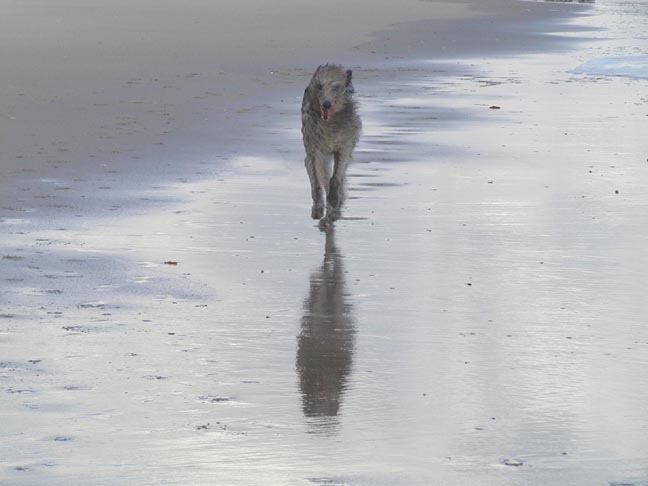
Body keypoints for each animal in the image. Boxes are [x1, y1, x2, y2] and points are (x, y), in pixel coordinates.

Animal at [302, 64, 362, 228]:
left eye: (336, 87)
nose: (326, 104)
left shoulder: (344, 147)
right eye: (319, 86)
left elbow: (335, 178)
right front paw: (318, 209)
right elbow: (317, 180)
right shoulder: (314, 149)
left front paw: (334, 201)